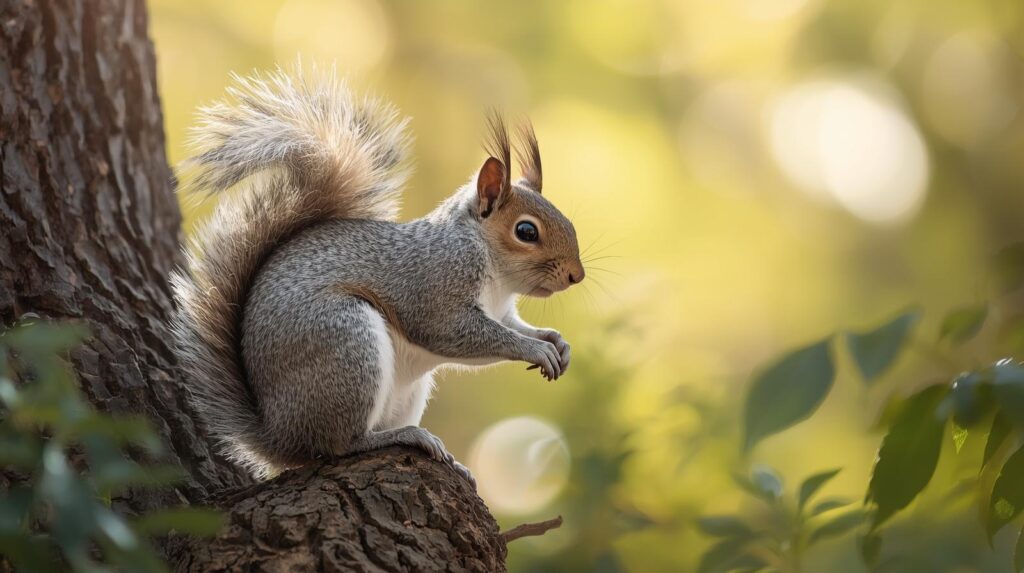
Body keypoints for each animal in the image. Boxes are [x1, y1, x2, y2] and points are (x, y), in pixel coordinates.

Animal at [170, 67, 585, 481]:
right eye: (526, 231)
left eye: (567, 220)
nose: (576, 276)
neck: (496, 276)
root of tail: (279, 437)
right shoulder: (435, 285)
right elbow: (457, 332)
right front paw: (534, 349)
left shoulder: (502, 311)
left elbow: (515, 326)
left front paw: (554, 341)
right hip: (346, 344)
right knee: (339, 444)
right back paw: (405, 436)